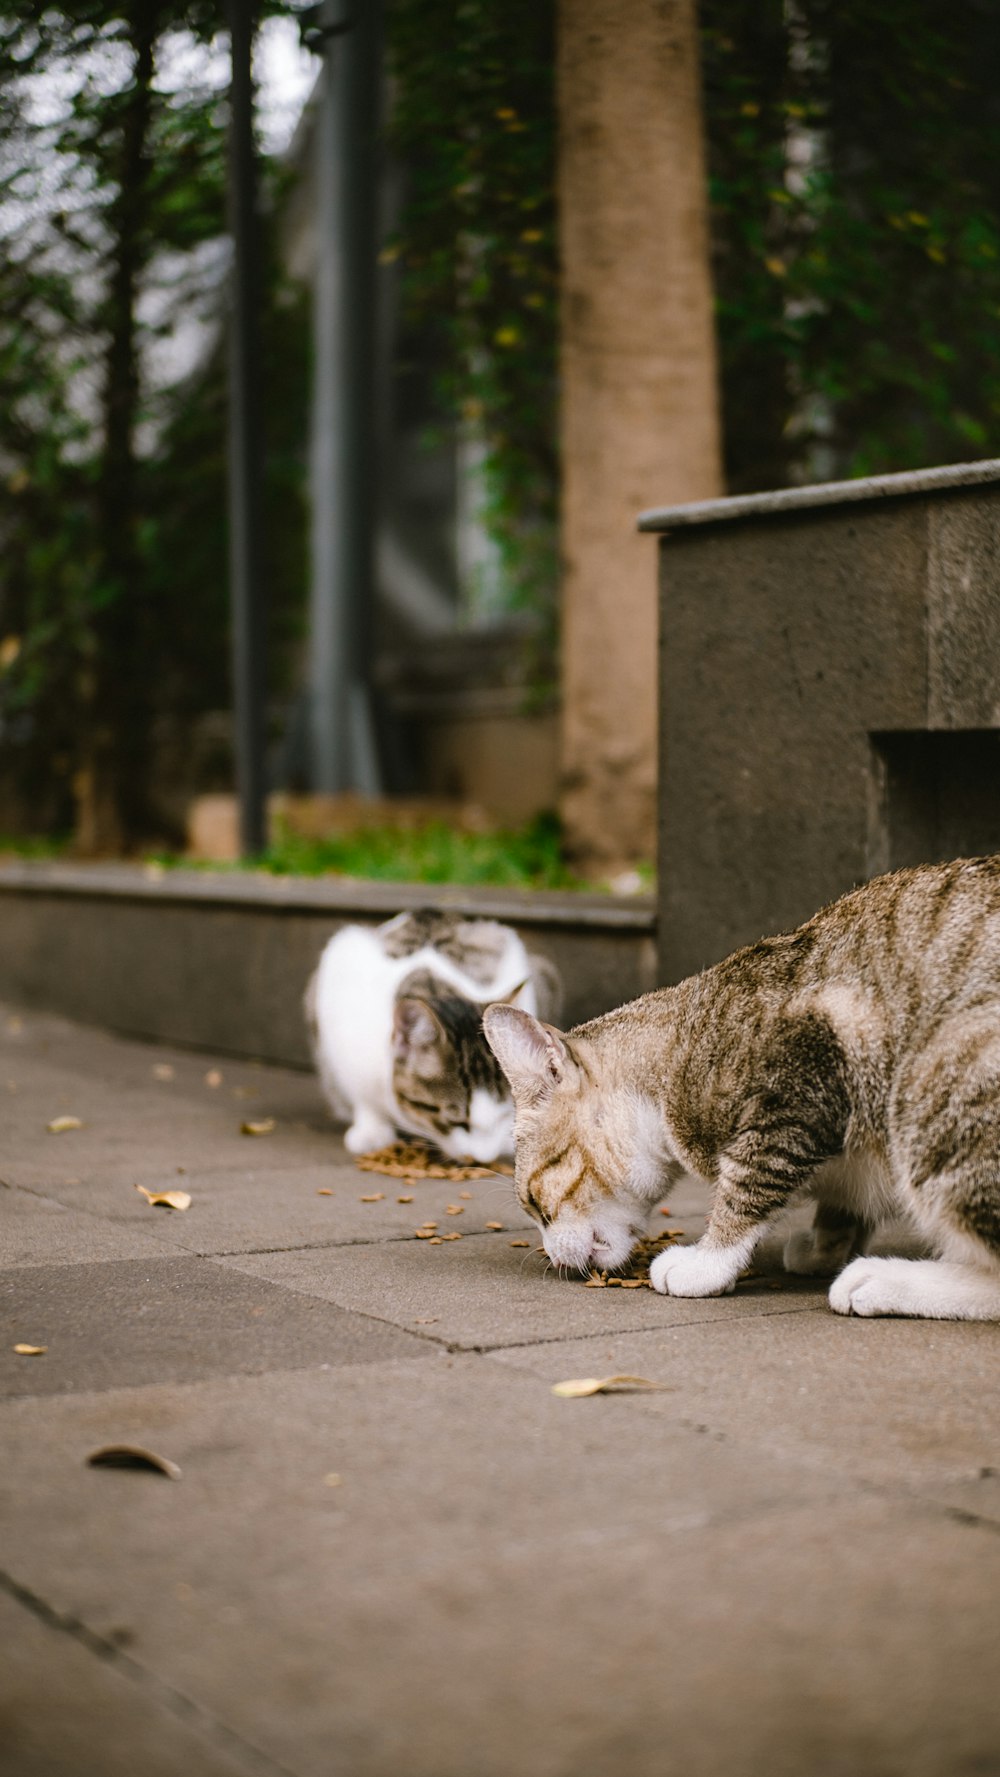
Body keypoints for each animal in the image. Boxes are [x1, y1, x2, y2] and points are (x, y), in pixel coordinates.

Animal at [490, 852, 1000, 1329]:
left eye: (536, 1202)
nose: (553, 1257)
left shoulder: (802, 1075)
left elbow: (747, 1183)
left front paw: (706, 1263)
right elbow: (839, 1207)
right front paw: (825, 1245)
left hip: (937, 1072)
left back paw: (882, 1279)